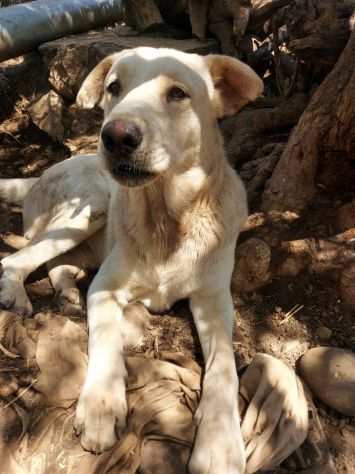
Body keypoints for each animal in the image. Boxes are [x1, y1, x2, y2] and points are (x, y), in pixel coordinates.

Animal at [0, 47, 262, 470]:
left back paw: (67, 295)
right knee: (16, 260)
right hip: (87, 207)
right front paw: (102, 406)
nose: (116, 136)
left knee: (59, 266)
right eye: (113, 87)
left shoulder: (214, 300)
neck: (167, 220)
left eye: (177, 93)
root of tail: (41, 173)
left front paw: (220, 442)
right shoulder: (106, 289)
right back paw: (18, 295)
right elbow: (106, 336)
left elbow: (224, 365)